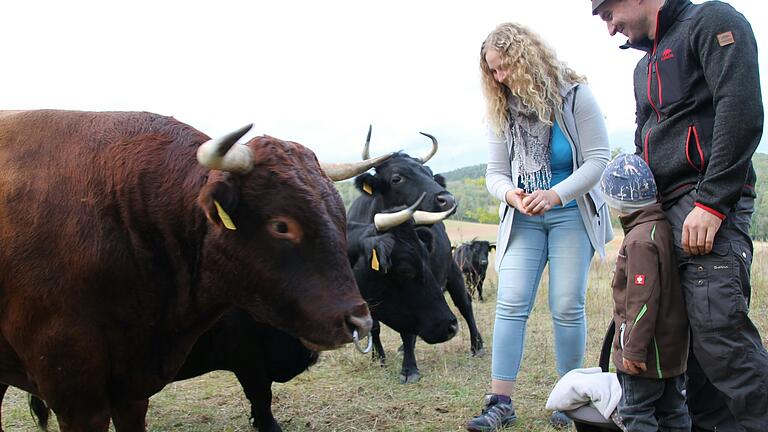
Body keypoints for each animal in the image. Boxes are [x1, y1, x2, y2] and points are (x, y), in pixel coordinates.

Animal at [350, 127, 486, 382]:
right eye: (397, 178)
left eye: (430, 173)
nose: (448, 199)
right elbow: (375, 326)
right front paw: (378, 358)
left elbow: (408, 330)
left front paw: (409, 368)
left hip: (454, 274)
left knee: (465, 305)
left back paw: (477, 345)